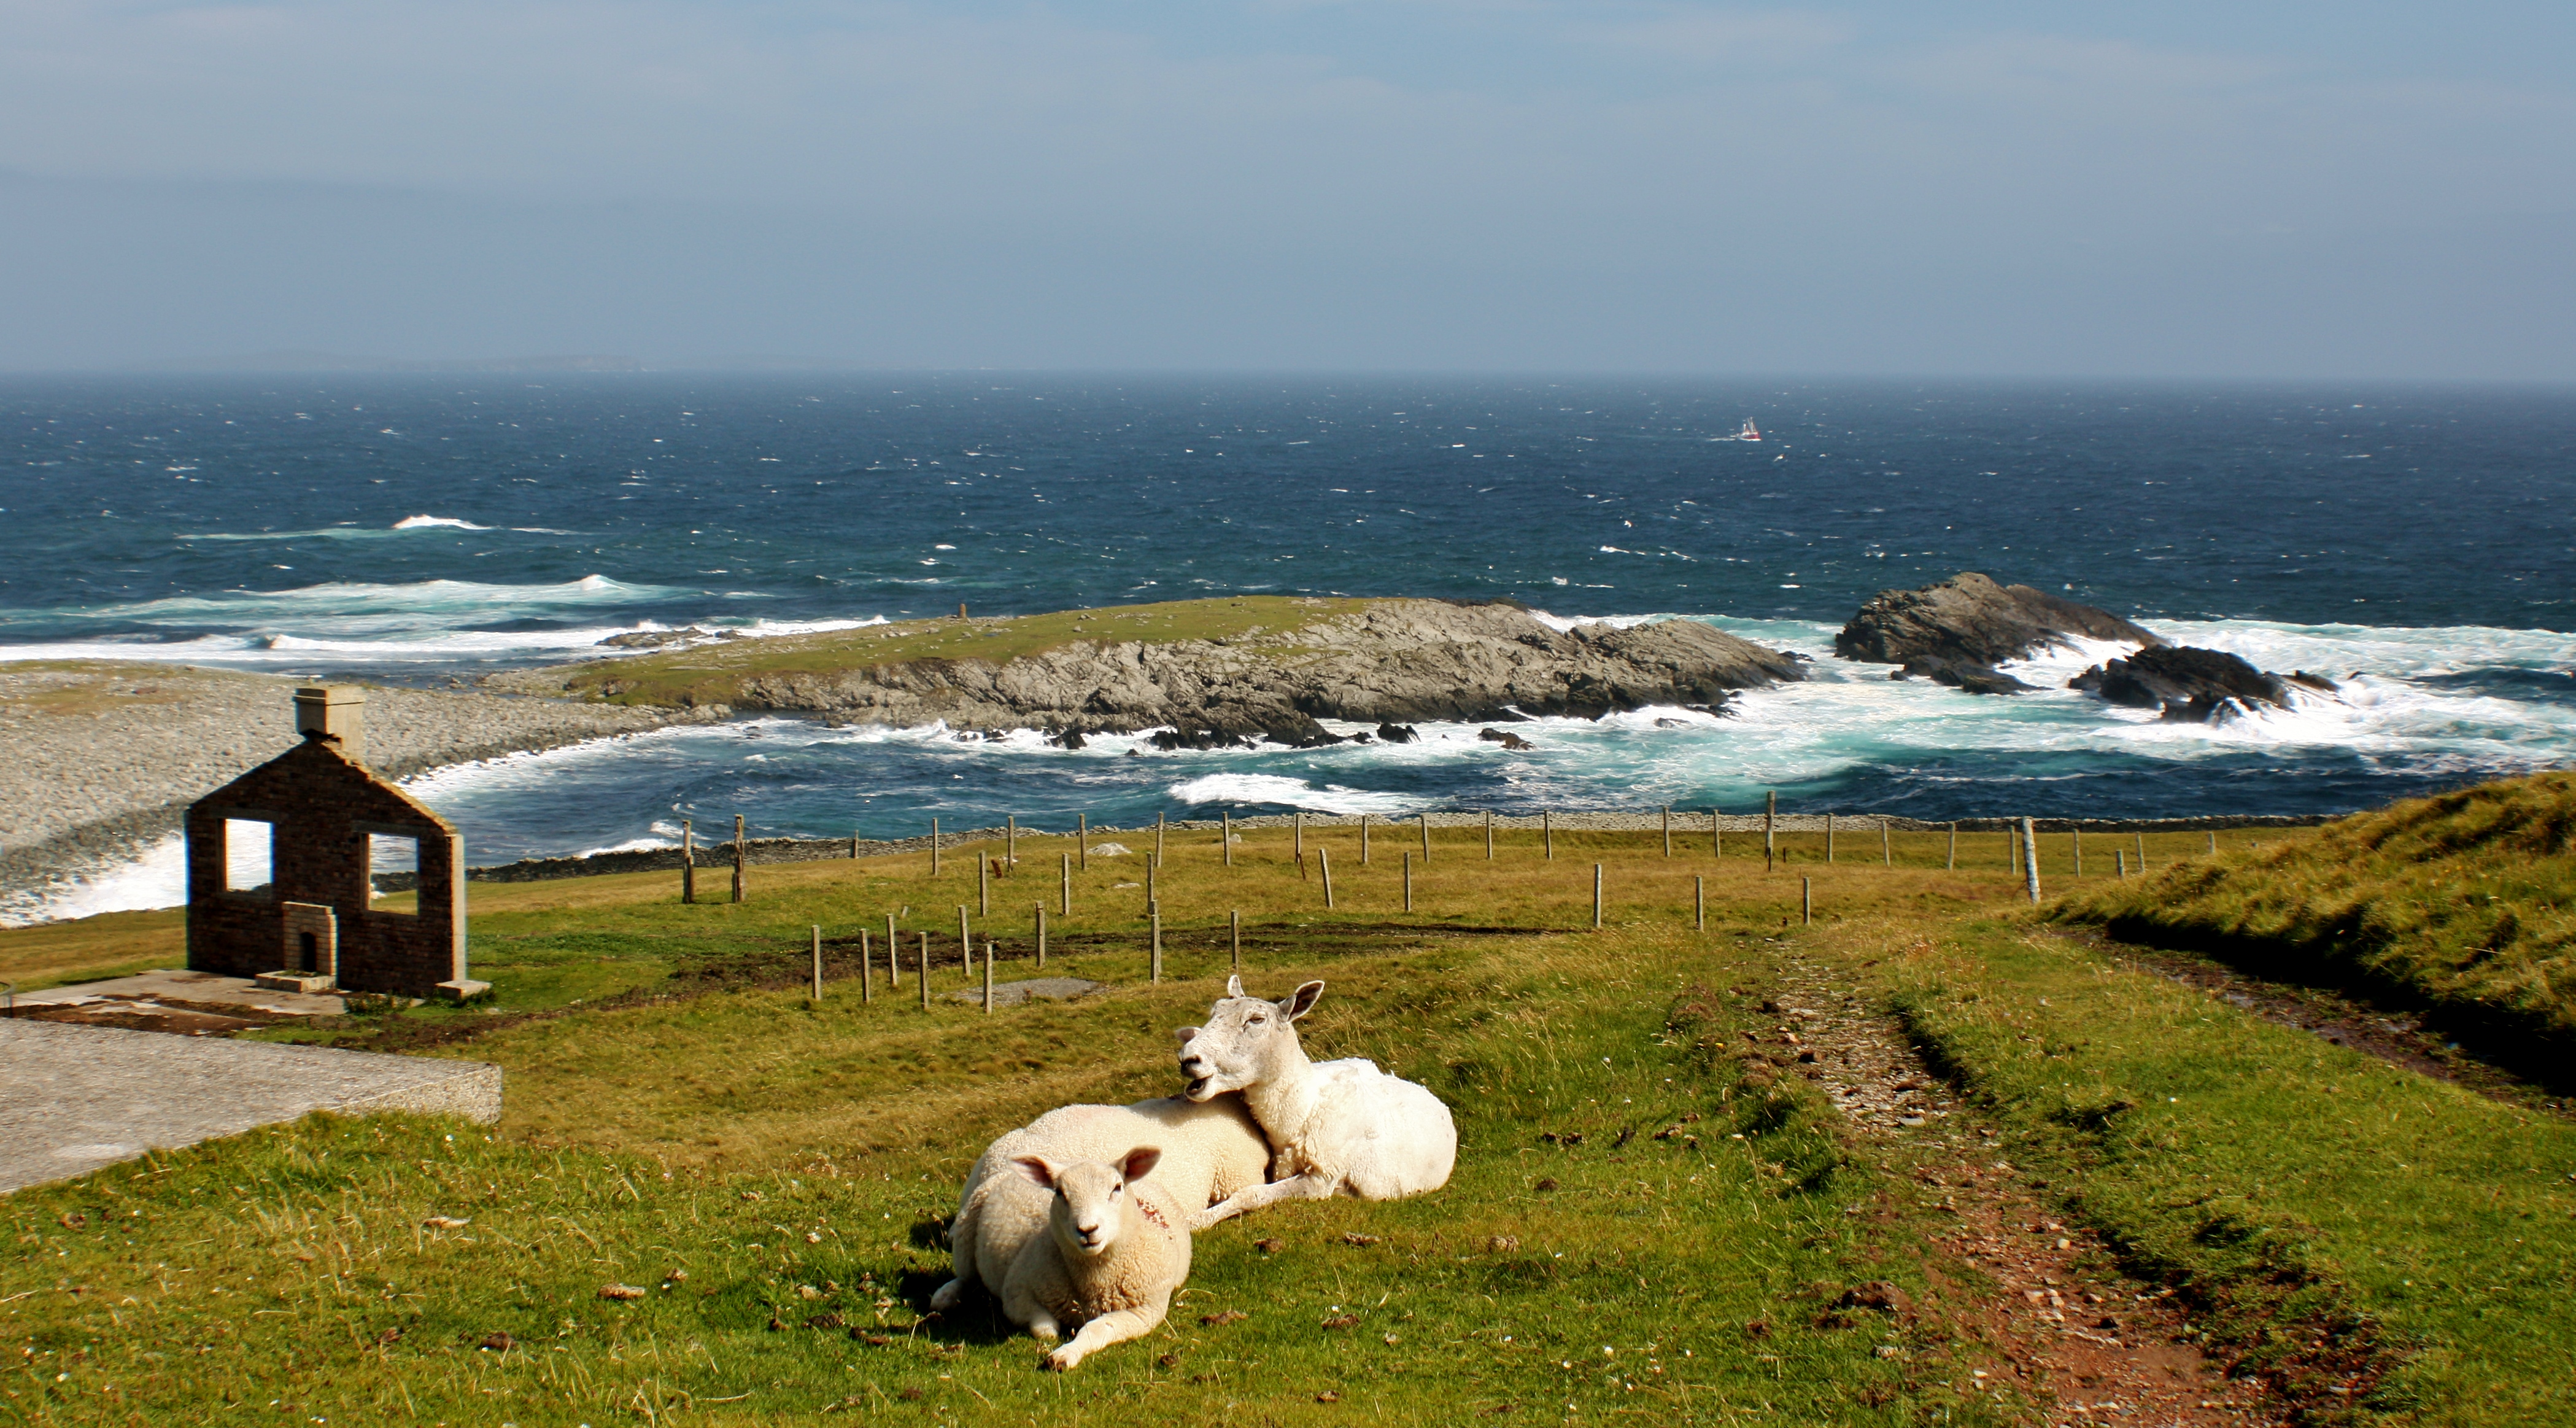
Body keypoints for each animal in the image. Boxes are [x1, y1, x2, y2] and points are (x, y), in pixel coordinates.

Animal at [999, 1139, 1190, 1360]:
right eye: (1059, 1192)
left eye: (1117, 1188)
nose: (1087, 1230)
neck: (1096, 1282)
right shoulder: (1016, 1293)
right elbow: (1043, 1326)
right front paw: (1051, 1336)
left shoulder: (1144, 1311)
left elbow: (1097, 1329)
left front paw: (1065, 1355)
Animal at [1180, 974, 1463, 1216]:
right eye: (1215, 1012)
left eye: (1256, 1020)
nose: (1188, 1059)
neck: (1303, 1111)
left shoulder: (1322, 1178)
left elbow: (1249, 1195)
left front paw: (1197, 1220)